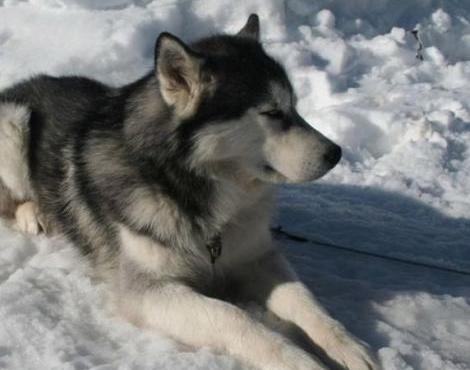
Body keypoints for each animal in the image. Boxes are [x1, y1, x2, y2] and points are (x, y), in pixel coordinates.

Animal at [0, 15, 378, 370]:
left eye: (295, 108)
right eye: (272, 112)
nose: (335, 153)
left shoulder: (256, 256)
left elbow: (306, 301)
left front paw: (347, 345)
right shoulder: (149, 290)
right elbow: (230, 316)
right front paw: (296, 359)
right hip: (13, 124)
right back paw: (34, 214)